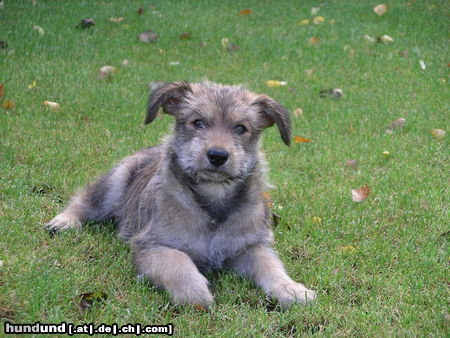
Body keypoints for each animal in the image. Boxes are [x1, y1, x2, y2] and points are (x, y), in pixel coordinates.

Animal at [46, 80, 316, 308]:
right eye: (198, 122)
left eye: (241, 128)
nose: (217, 155)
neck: (213, 202)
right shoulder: (151, 246)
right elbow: (177, 262)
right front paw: (195, 293)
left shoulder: (250, 247)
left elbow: (271, 265)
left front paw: (292, 289)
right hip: (113, 184)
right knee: (85, 198)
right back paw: (64, 221)